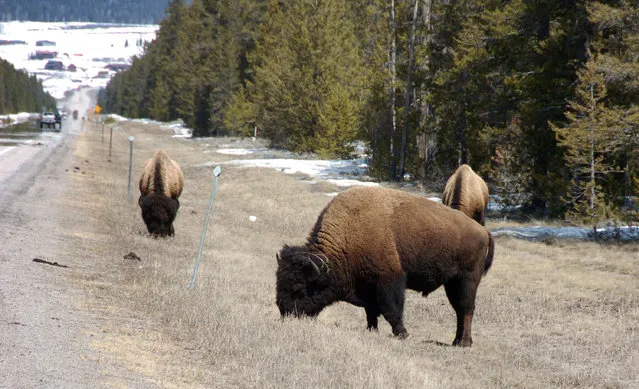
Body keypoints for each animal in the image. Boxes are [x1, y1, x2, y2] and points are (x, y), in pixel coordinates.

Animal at [276, 186, 496, 348]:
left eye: (298, 288)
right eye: (278, 283)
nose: (284, 312)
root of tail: (483, 231)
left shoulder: (389, 280)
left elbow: (391, 309)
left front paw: (403, 334)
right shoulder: (367, 287)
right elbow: (371, 311)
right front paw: (371, 330)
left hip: (466, 279)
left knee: (466, 308)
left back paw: (464, 343)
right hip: (452, 283)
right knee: (460, 309)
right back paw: (457, 341)